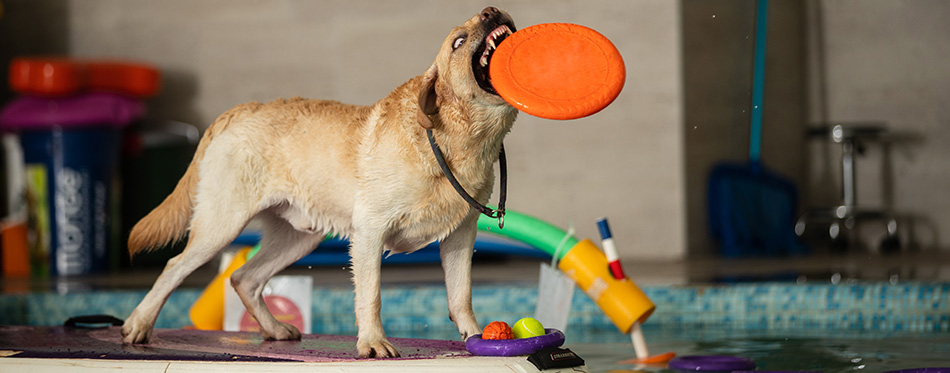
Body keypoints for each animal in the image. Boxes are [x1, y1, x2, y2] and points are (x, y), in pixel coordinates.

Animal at [124, 6, 520, 358]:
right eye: (458, 42)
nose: (491, 10)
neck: (455, 141)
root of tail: (240, 110)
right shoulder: (370, 230)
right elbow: (371, 295)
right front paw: (373, 343)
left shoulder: (461, 235)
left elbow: (461, 293)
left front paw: (475, 336)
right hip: (221, 225)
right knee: (175, 266)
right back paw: (138, 324)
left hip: (298, 237)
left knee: (244, 278)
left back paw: (274, 329)